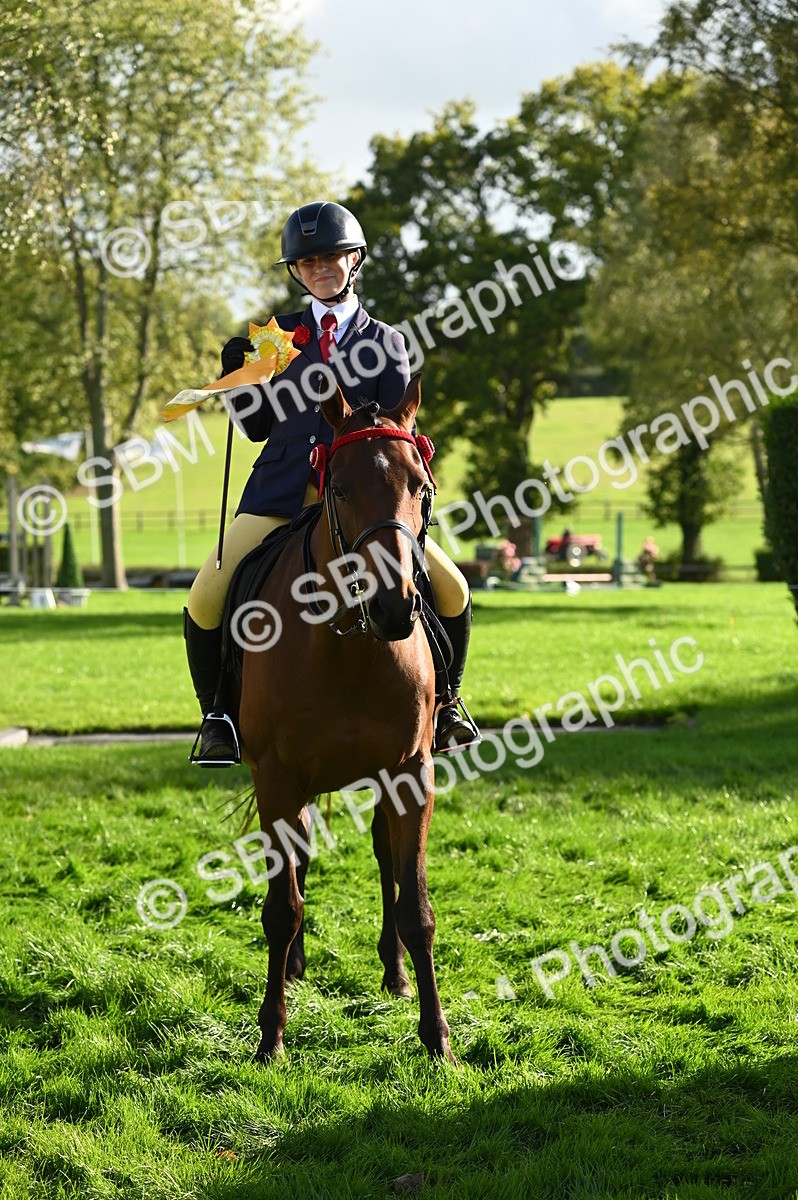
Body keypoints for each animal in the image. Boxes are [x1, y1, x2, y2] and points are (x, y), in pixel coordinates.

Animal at [235, 375, 456, 1064]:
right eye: (339, 488)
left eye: (421, 487)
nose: (395, 606)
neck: (349, 643)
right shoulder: (276, 775)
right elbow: (282, 907)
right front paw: (271, 1037)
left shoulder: (411, 771)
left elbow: (416, 906)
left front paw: (437, 1038)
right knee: (298, 864)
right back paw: (295, 969)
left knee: (384, 859)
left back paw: (394, 972)